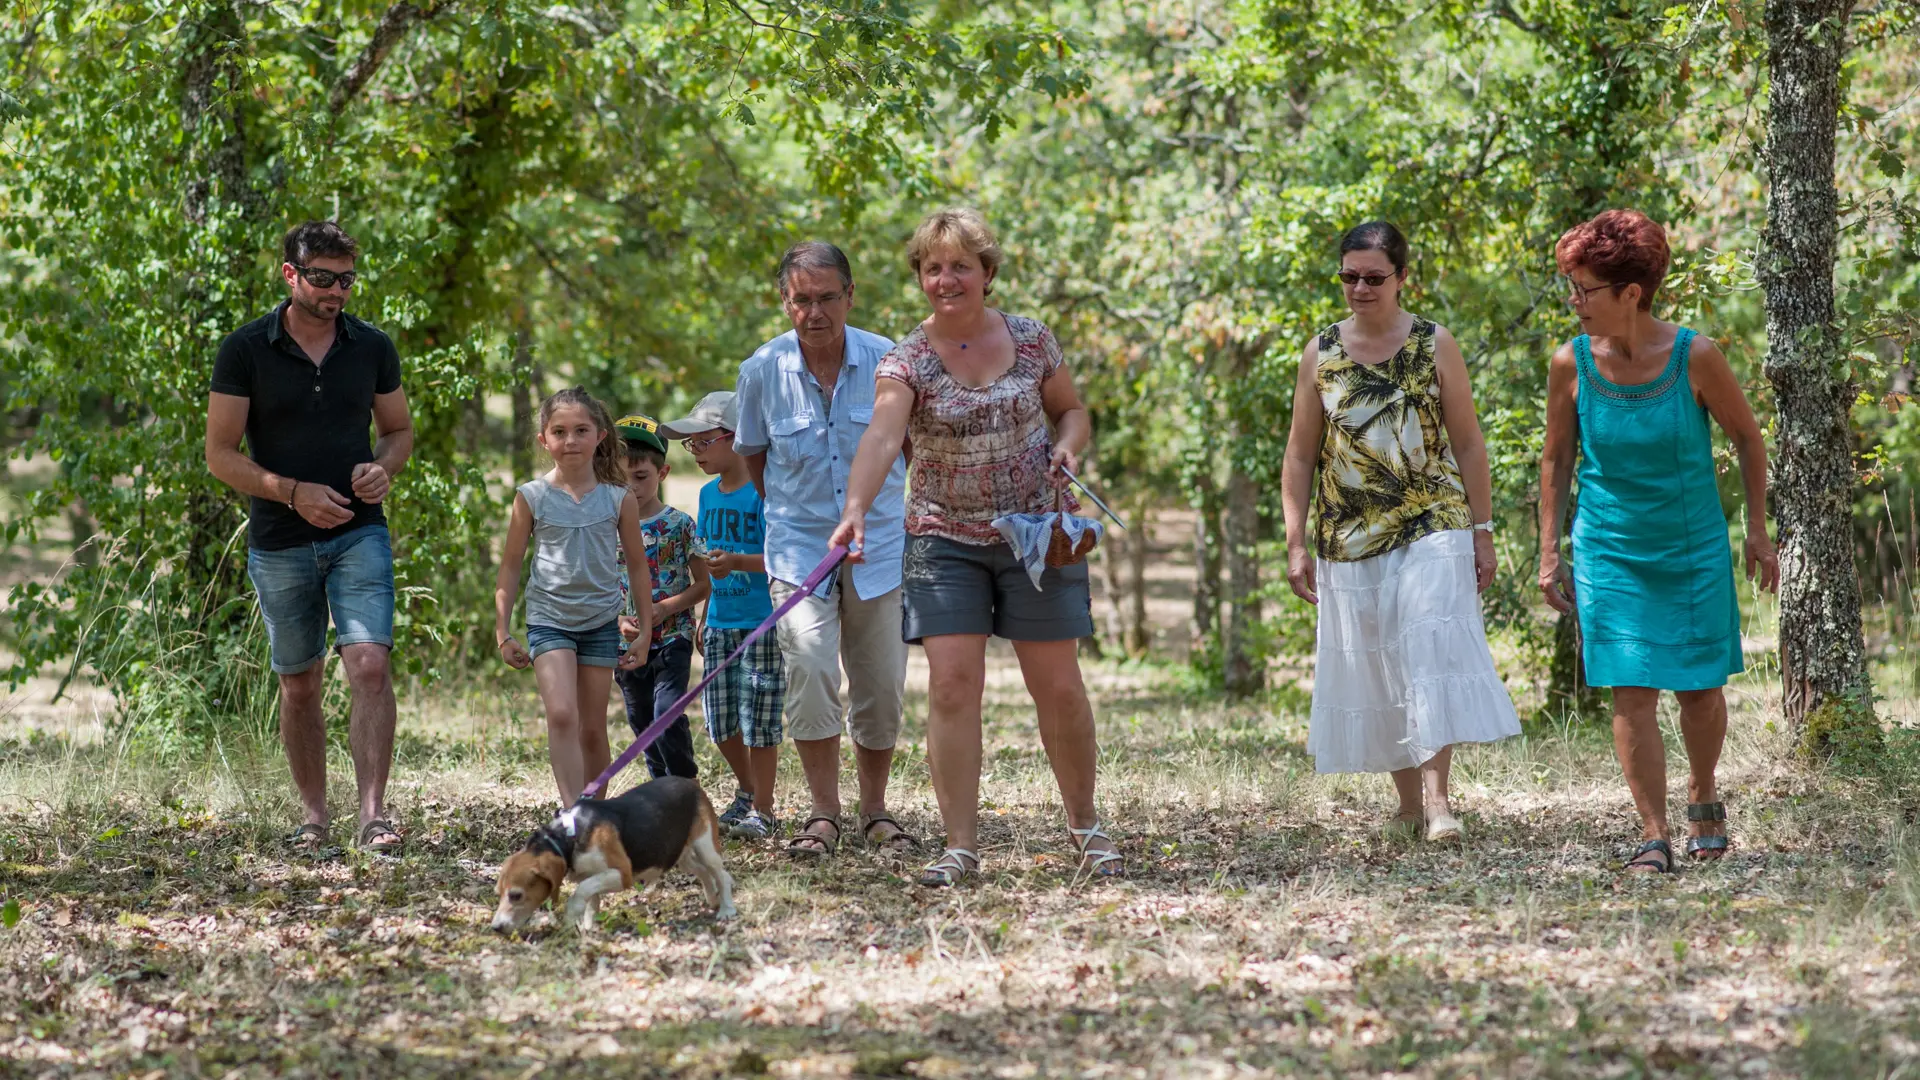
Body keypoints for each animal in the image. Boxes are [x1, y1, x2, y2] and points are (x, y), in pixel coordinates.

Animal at [491, 772, 737, 933]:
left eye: (516, 895)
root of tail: (691, 783)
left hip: (705, 847)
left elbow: (581, 891)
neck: (567, 836)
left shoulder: (621, 874)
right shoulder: (593, 876)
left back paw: (726, 909)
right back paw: (711, 898)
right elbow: (591, 903)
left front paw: (571, 915)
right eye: (498, 894)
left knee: (722, 875)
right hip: (682, 857)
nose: (495, 927)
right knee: (703, 873)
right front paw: (588, 929)